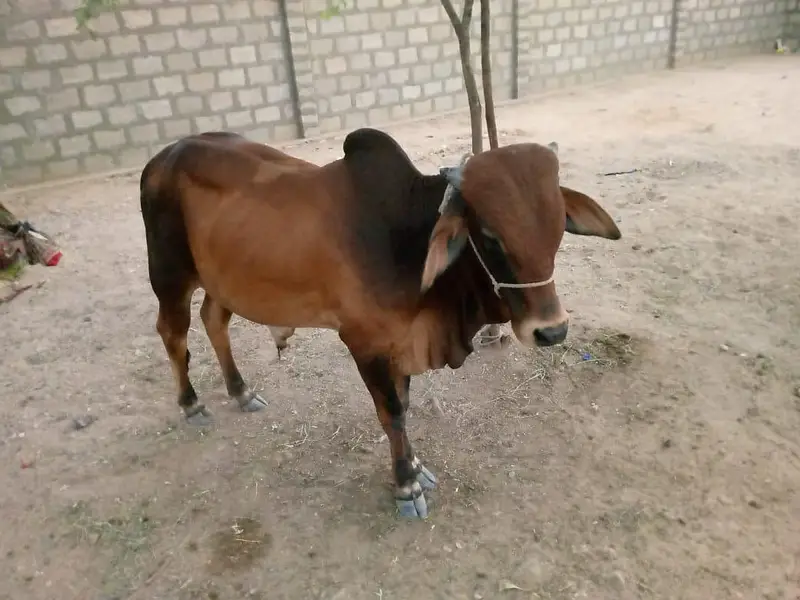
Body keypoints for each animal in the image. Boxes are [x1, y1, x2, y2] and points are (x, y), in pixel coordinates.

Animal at [139, 127, 621, 519]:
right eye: (490, 236)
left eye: (558, 228)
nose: (552, 330)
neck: (404, 239)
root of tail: (162, 157)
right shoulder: (363, 342)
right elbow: (391, 413)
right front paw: (406, 487)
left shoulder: (400, 344)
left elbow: (404, 406)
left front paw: (417, 468)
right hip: (170, 273)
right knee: (173, 333)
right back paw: (191, 403)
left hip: (223, 280)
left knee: (213, 321)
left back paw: (241, 392)